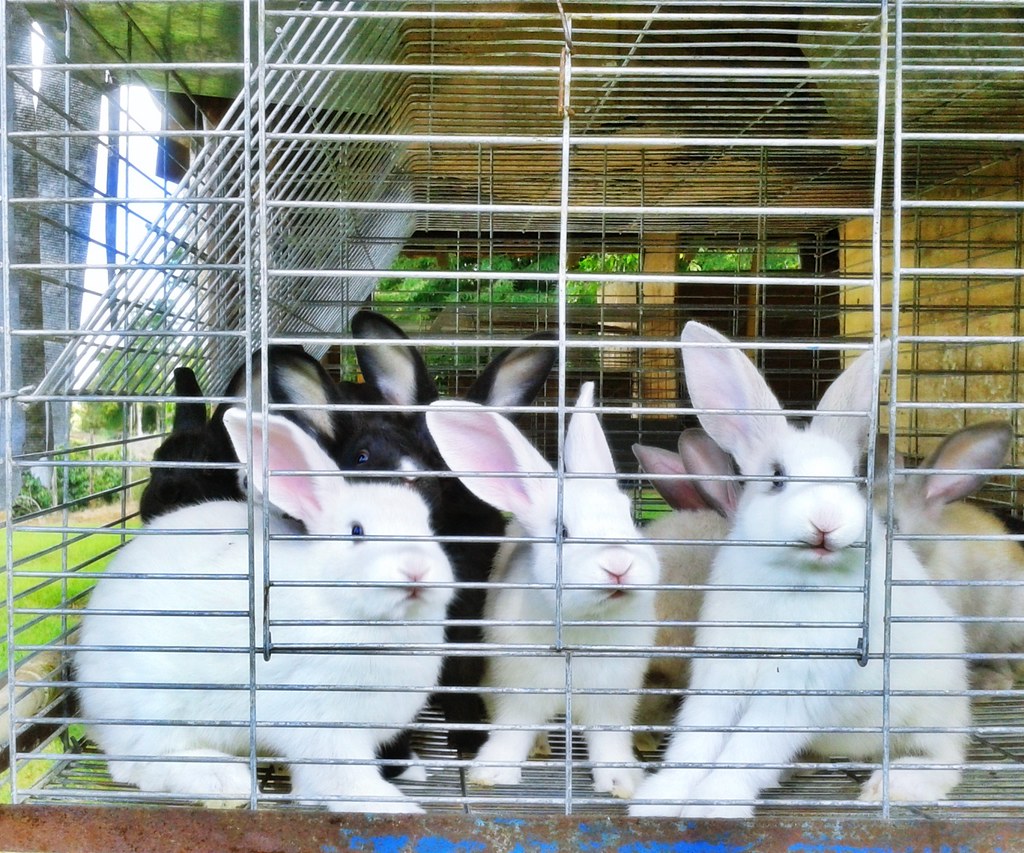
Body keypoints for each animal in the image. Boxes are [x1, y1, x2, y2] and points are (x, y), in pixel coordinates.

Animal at [75, 409, 454, 813]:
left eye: (428, 527)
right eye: (356, 531)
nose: (417, 568)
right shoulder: (323, 728)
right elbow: (342, 780)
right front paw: (396, 808)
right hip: (151, 711)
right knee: (137, 763)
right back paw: (224, 781)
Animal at [425, 382, 660, 799]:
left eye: (630, 520)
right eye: (561, 531)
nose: (618, 565)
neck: (582, 629)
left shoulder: (613, 700)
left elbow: (609, 742)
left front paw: (622, 783)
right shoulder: (515, 689)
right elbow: (511, 731)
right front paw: (492, 773)